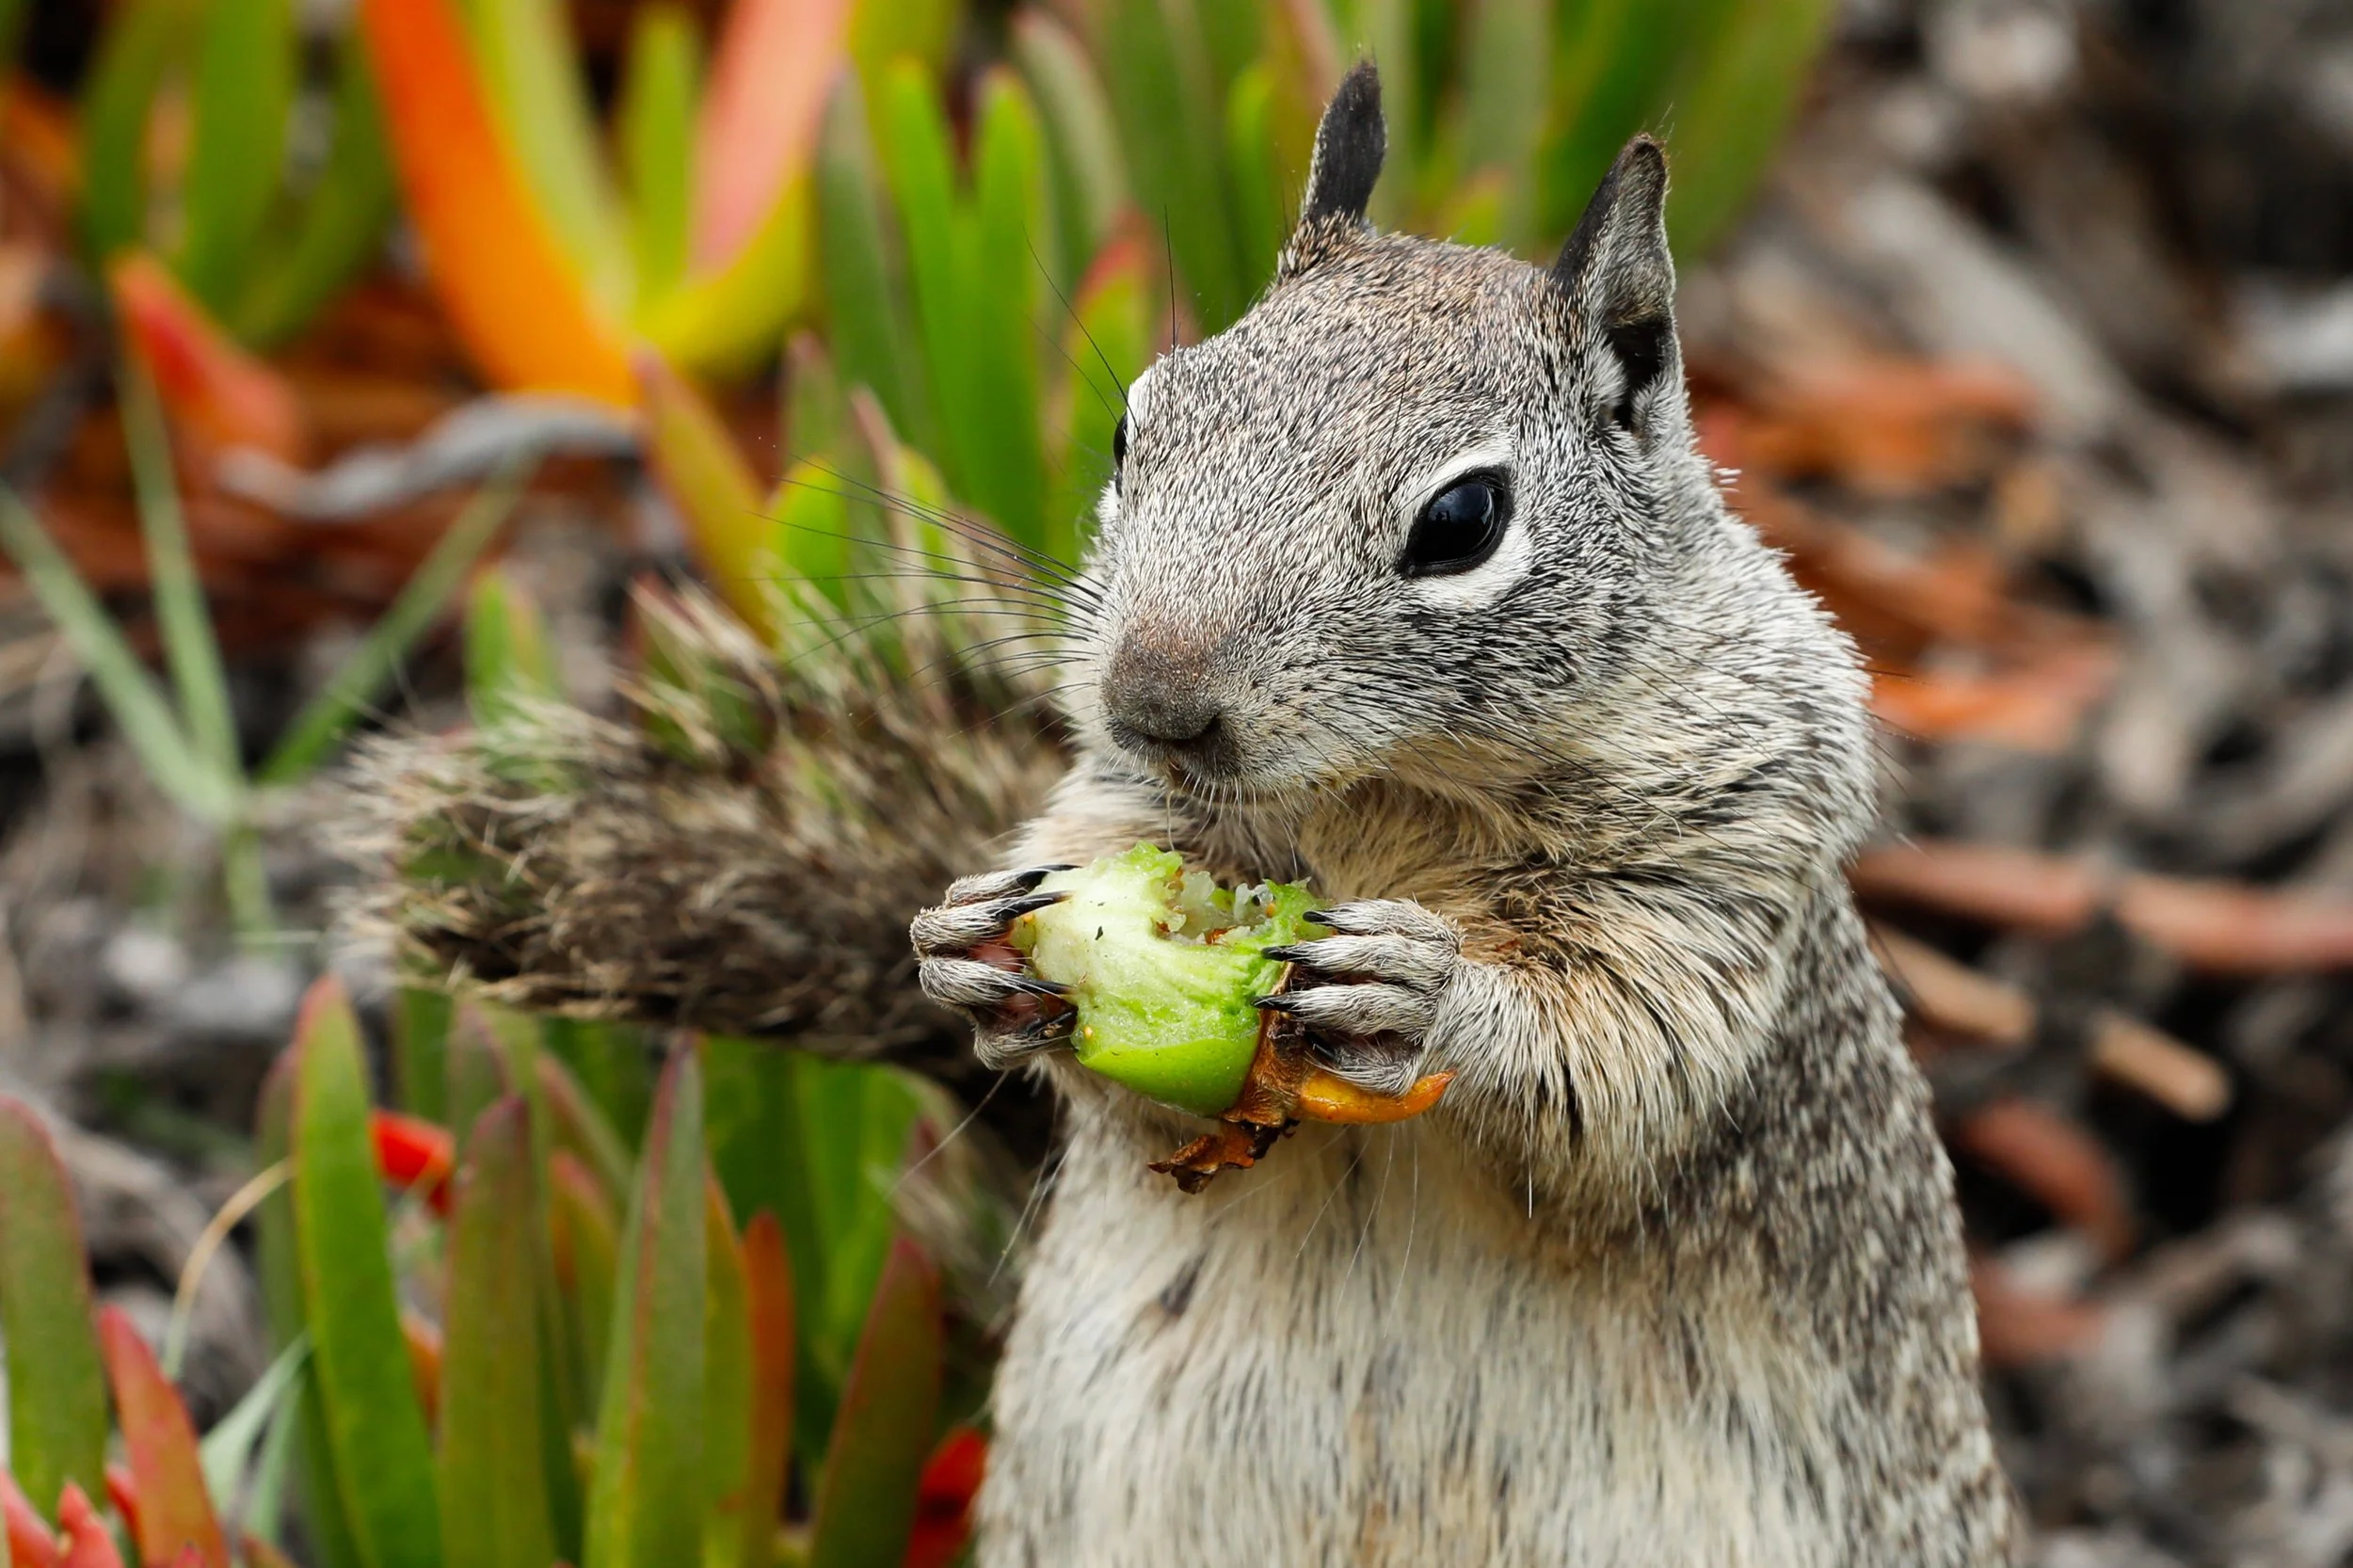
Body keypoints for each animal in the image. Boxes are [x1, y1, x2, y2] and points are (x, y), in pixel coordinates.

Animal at [907, 65, 2017, 1566]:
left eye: (1464, 518)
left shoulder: (1726, 851)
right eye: (1138, 424)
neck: (1390, 788)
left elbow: (1622, 1067)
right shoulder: (1123, 800)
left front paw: (1424, 997)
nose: (1153, 701)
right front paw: (965, 947)